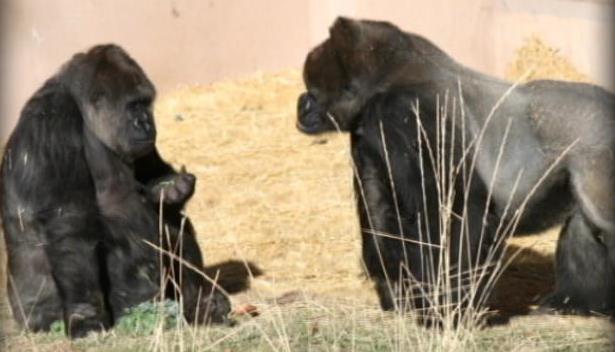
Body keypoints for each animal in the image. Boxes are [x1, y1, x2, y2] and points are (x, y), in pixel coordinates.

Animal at [0, 44, 231, 338]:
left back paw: (203, 305)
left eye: (146, 103)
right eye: (133, 106)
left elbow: (154, 181)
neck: (83, 113)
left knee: (169, 221)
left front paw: (173, 190)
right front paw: (85, 315)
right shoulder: (51, 125)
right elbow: (70, 225)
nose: (146, 123)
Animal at [296, 17, 612, 318]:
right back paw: (574, 302)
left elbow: (453, 213)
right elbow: (379, 212)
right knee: (585, 222)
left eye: (313, 90)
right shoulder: (368, 133)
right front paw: (398, 295)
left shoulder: (408, 112)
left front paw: (447, 306)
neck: (388, 79)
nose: (302, 104)